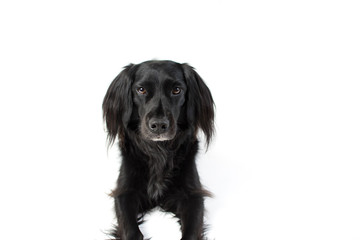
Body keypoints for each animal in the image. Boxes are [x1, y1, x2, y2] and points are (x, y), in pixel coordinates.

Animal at [102, 60, 214, 240]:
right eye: (141, 89)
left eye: (176, 90)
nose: (159, 125)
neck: (159, 151)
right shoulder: (124, 191)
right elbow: (131, 231)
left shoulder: (193, 194)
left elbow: (191, 232)